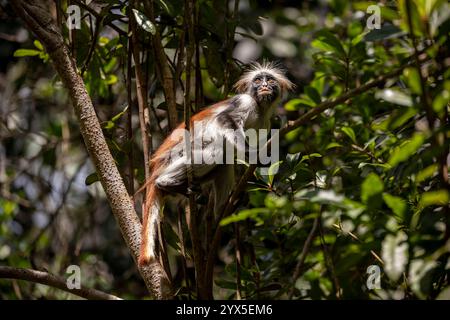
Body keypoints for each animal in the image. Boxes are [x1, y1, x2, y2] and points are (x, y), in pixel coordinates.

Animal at [141, 61, 296, 266]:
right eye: (257, 80)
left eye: (269, 80)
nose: (264, 86)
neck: (260, 108)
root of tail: (155, 166)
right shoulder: (244, 102)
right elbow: (223, 120)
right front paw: (254, 153)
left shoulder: (265, 122)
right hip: (177, 154)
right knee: (217, 149)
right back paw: (166, 182)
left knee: (224, 162)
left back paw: (221, 212)